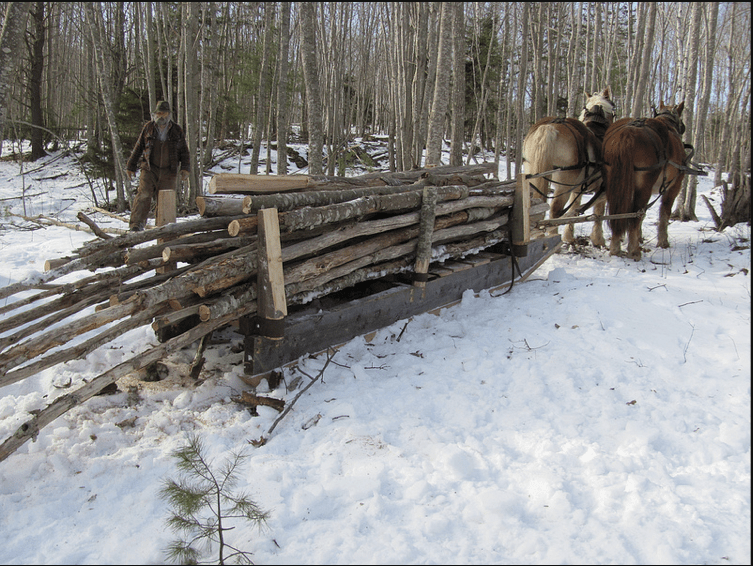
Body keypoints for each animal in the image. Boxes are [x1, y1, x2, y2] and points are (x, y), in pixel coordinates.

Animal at [522, 87, 615, 247]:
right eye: (614, 107)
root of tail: (549, 127)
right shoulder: (602, 189)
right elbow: (598, 212)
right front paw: (598, 239)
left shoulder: (578, 188)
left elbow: (574, 207)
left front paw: (569, 236)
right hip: (563, 186)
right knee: (554, 210)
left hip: (533, 176)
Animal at [602, 100, 686, 260]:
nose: (683, 127)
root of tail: (627, 134)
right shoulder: (673, 187)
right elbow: (664, 212)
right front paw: (663, 241)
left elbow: (642, 213)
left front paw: (639, 237)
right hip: (644, 185)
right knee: (635, 214)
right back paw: (634, 251)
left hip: (614, 182)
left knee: (620, 213)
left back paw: (616, 247)